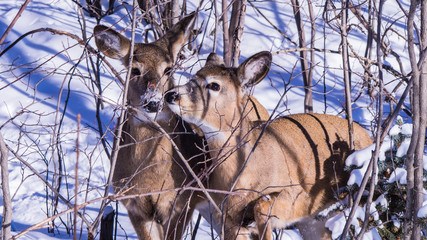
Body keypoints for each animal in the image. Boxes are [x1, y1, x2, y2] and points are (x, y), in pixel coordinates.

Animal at [93, 13, 204, 240]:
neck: (151, 179)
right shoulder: (134, 205)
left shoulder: (180, 202)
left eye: (168, 69)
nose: (153, 102)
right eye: (134, 69)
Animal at [166, 51, 372, 239]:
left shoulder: (300, 197)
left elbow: (261, 205)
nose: (171, 95)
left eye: (214, 85)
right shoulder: (227, 218)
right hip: (312, 224)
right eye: (194, 77)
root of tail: (368, 137)